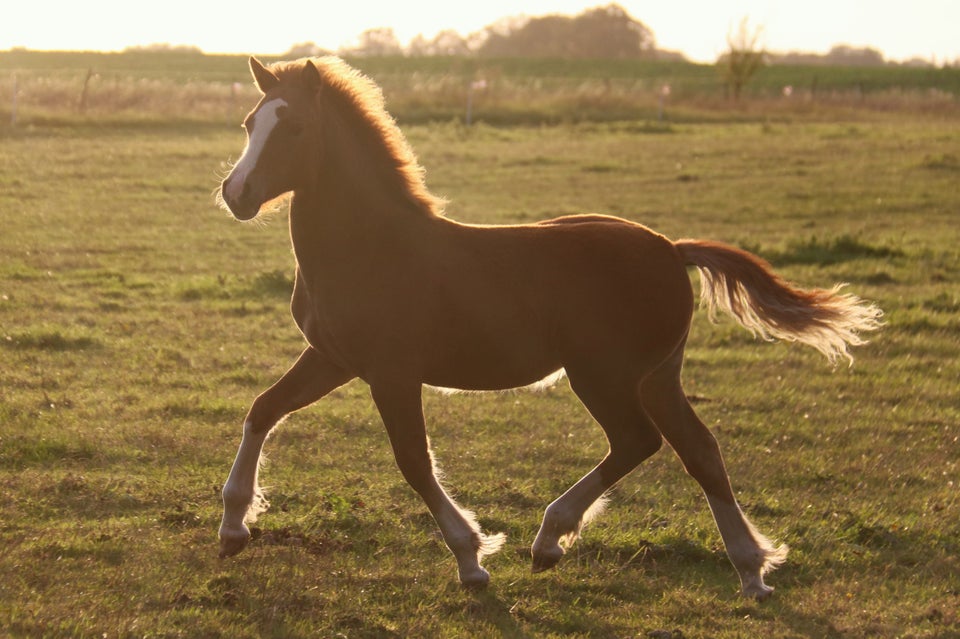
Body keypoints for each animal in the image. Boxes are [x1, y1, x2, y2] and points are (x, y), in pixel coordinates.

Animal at [214, 56, 880, 600]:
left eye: (295, 128)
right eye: (249, 123)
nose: (236, 193)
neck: (368, 247)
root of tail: (671, 249)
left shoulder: (391, 371)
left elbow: (414, 461)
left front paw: (472, 560)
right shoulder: (333, 357)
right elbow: (262, 410)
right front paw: (232, 527)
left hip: (604, 375)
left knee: (639, 442)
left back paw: (550, 538)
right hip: (656, 376)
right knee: (701, 452)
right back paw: (750, 570)